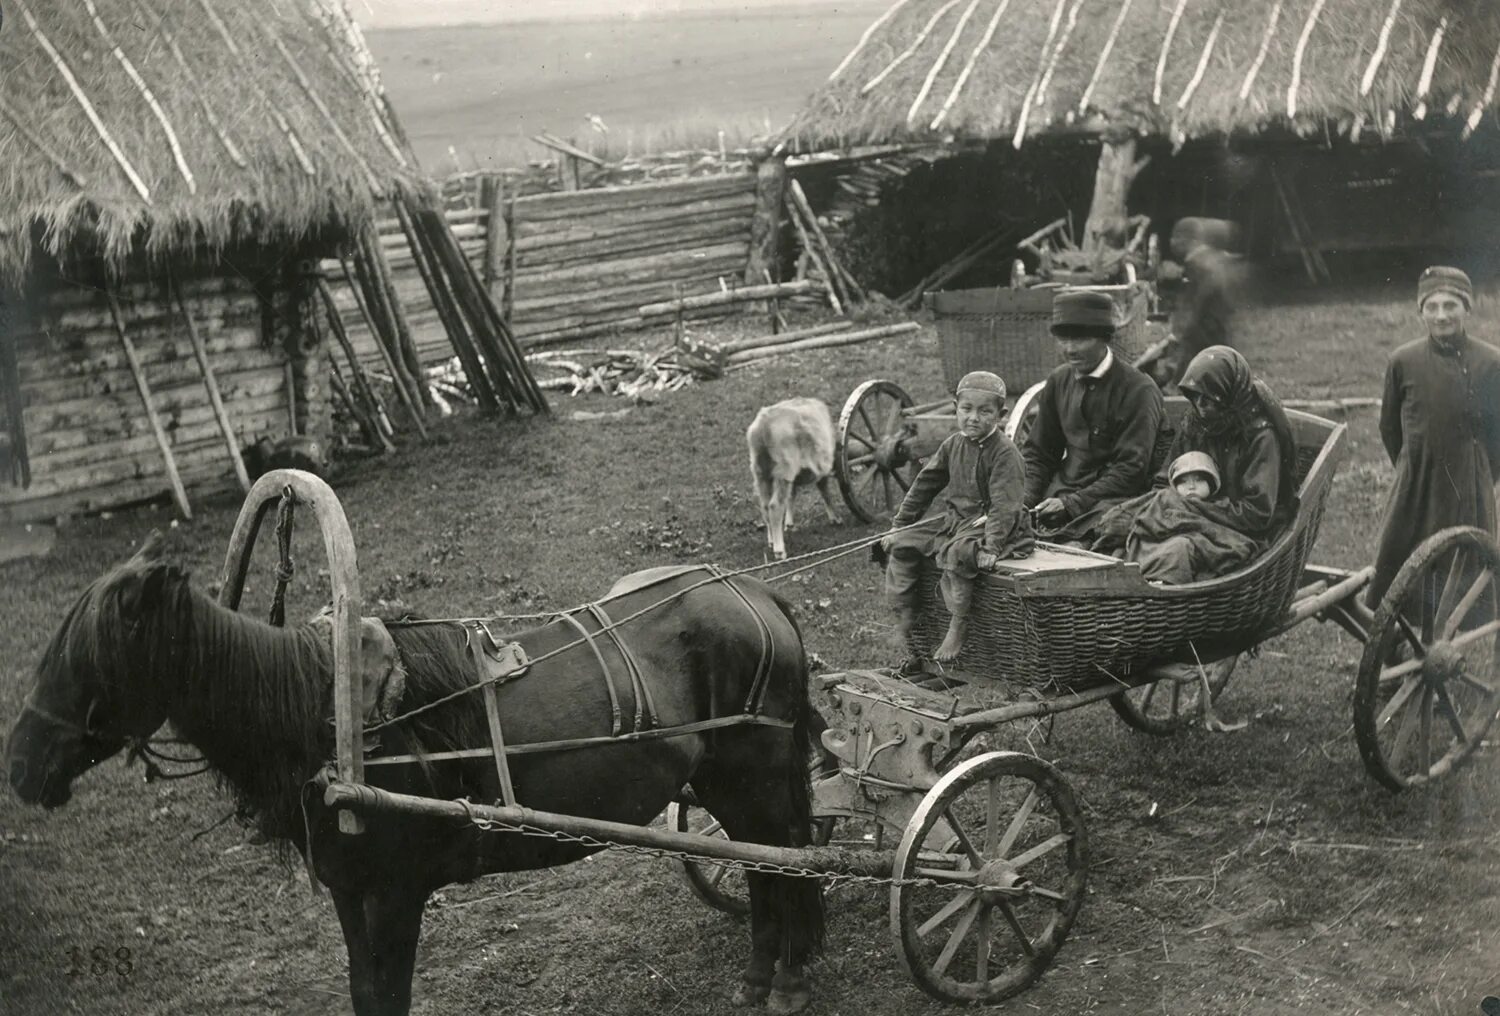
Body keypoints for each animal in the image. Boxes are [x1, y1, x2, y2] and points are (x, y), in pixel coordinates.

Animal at [5, 534, 828, 1008]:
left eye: (94, 660)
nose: (19, 765)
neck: (337, 724)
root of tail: (753, 591)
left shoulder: (398, 893)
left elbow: (391, 995)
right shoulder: (350, 892)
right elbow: (364, 991)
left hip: (752, 779)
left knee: (784, 856)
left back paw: (788, 977)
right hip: (729, 785)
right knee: (769, 862)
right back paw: (766, 976)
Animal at [750, 396, 846, 558]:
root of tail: (763, 425)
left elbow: (792, 496)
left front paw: (789, 523)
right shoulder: (821, 470)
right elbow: (825, 492)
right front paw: (835, 518)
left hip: (761, 474)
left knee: (765, 506)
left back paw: (771, 541)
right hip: (783, 470)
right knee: (775, 506)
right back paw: (779, 550)